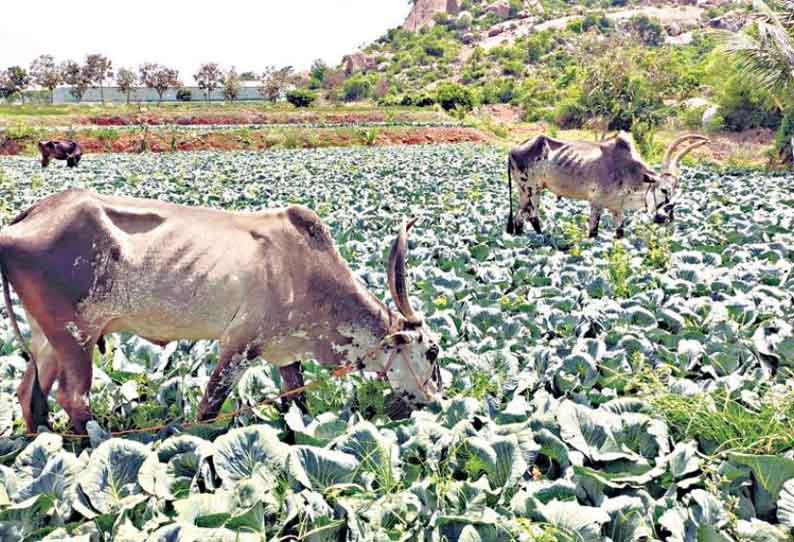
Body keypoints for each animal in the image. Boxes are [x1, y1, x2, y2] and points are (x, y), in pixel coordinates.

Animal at [0, 189, 442, 436]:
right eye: (433, 351)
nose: (437, 399)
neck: (310, 274)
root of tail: (27, 219)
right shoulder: (238, 347)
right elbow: (208, 409)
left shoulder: (286, 354)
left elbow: (297, 403)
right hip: (76, 337)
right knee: (73, 398)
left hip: (48, 339)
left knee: (30, 394)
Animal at [504, 133, 708, 239]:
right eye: (663, 189)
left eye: (676, 194)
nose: (664, 218)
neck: (629, 171)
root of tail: (514, 149)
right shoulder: (596, 204)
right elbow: (593, 232)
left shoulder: (617, 209)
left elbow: (620, 232)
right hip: (530, 190)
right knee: (529, 216)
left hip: (530, 193)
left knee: (522, 217)